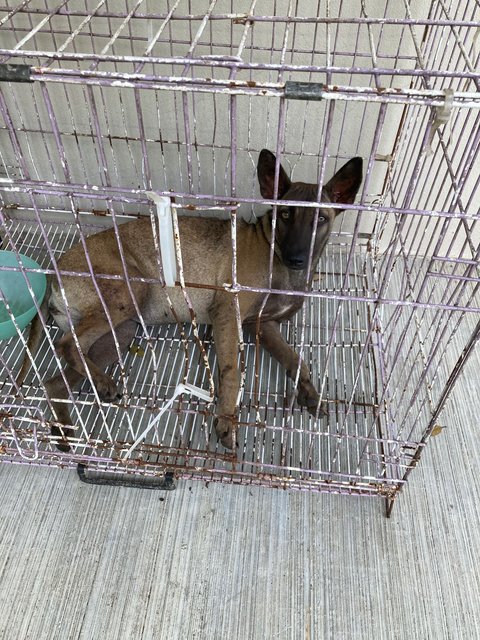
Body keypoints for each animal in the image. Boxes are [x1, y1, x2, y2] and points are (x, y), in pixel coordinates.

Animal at [15, 150, 364, 450]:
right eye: (286, 214)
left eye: (321, 220)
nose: (296, 259)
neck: (274, 255)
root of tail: (54, 268)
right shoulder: (228, 314)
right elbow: (231, 372)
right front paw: (226, 422)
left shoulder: (263, 325)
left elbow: (296, 360)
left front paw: (310, 391)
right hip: (128, 292)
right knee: (66, 345)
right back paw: (99, 386)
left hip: (120, 332)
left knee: (57, 380)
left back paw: (68, 425)